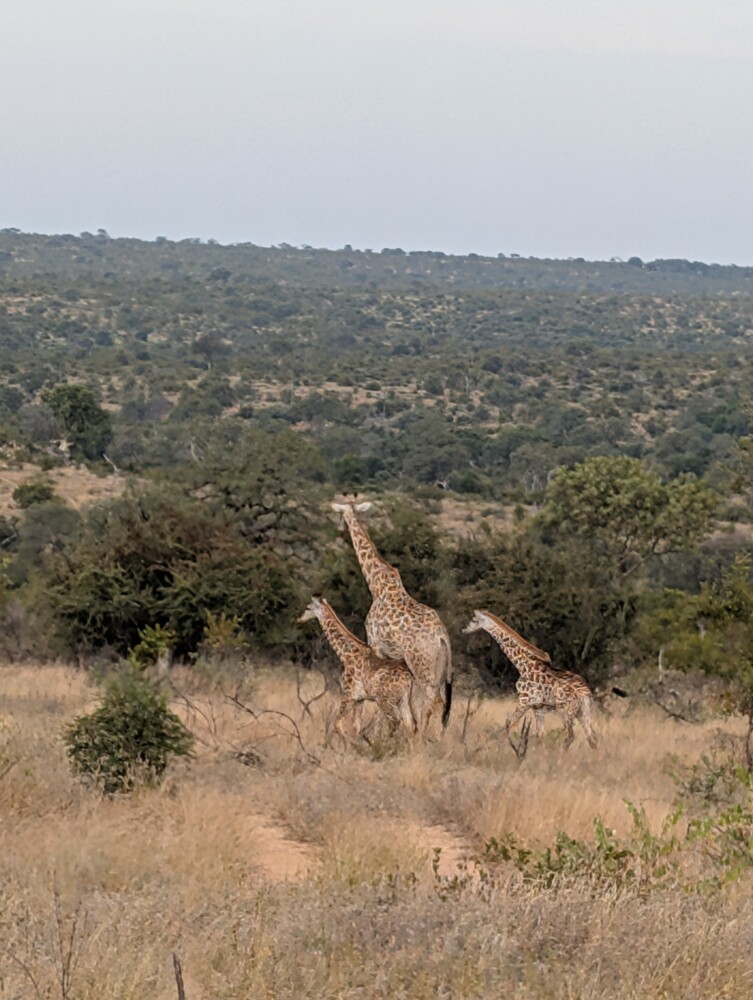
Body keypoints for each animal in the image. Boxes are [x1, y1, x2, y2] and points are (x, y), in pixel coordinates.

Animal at [298, 596, 417, 746]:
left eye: (308, 608)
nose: (299, 619)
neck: (345, 655)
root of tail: (408, 678)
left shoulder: (349, 694)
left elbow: (338, 725)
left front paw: (355, 746)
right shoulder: (360, 699)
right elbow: (356, 727)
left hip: (384, 699)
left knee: (394, 721)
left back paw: (381, 745)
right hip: (404, 699)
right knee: (410, 725)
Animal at [331, 496, 452, 736]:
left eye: (340, 515)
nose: (340, 532)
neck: (377, 584)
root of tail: (442, 637)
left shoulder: (375, 642)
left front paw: (367, 730)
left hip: (422, 666)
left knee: (430, 701)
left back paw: (422, 738)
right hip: (442, 671)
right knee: (442, 704)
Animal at [463, 609, 599, 749]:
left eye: (474, 620)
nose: (464, 630)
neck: (523, 665)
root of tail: (584, 692)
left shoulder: (524, 700)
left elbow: (509, 727)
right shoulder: (538, 707)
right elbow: (540, 735)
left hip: (565, 709)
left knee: (571, 735)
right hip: (583, 710)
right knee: (592, 737)